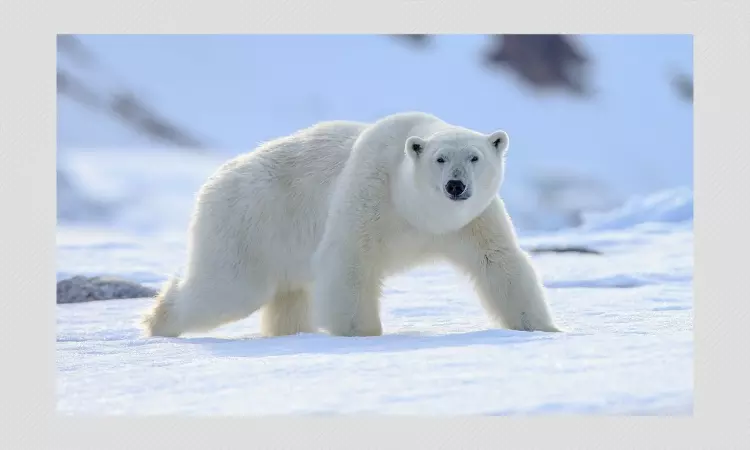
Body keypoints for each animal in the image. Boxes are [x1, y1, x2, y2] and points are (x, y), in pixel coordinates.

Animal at [141, 111, 561, 338]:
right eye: (440, 159)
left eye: (474, 157)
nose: (455, 186)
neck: (418, 212)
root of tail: (213, 181)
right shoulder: (371, 192)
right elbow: (350, 261)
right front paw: (362, 334)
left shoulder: (474, 220)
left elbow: (499, 262)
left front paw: (544, 328)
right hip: (249, 224)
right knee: (228, 288)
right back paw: (158, 321)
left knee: (289, 297)